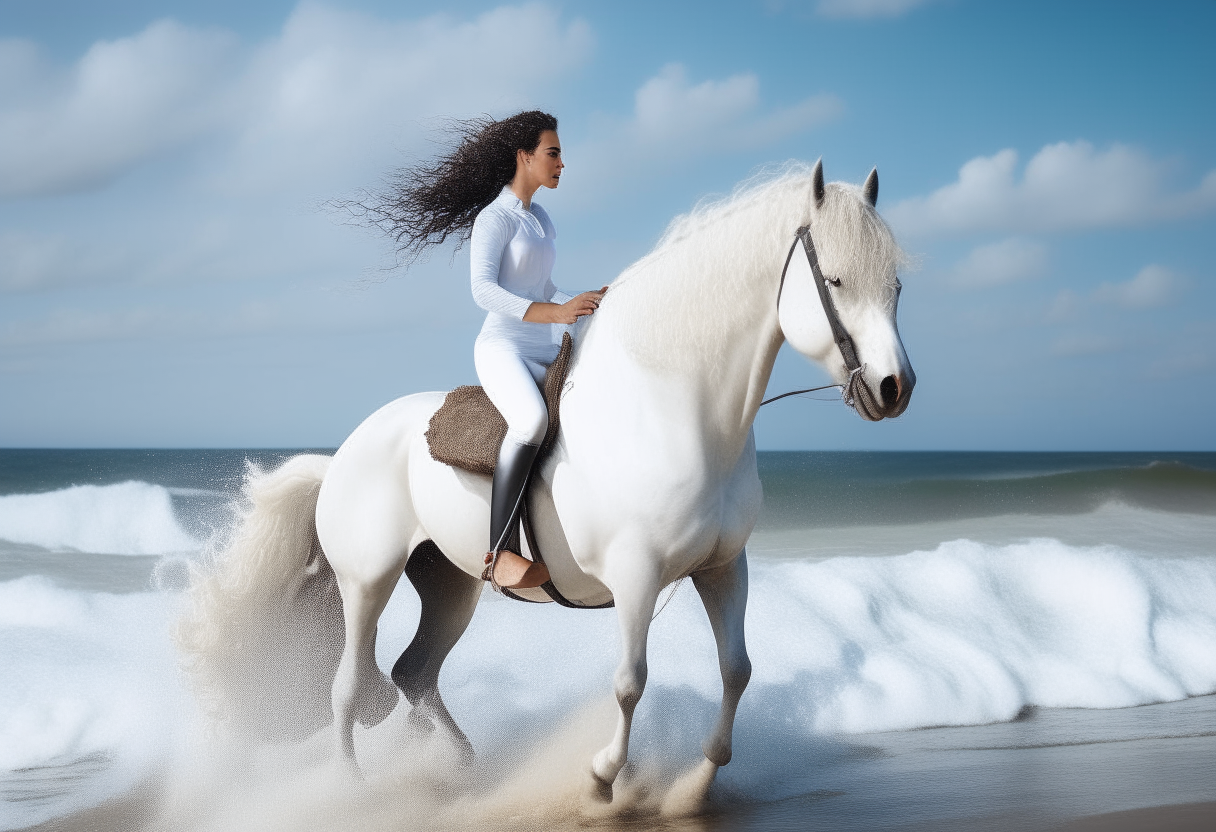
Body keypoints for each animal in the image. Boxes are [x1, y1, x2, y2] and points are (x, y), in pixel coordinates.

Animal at [179, 159, 914, 802]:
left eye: (897, 288)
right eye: (838, 281)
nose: (893, 387)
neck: (674, 407)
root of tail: (342, 455)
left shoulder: (724, 567)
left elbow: (738, 670)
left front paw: (698, 784)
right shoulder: (637, 574)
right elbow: (630, 681)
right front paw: (601, 779)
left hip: (449, 584)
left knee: (414, 673)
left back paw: (464, 768)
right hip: (367, 581)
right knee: (348, 685)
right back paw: (356, 792)